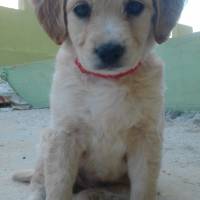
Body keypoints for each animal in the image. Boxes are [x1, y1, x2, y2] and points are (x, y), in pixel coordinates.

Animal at [13, 0, 184, 200]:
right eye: (81, 9)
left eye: (135, 6)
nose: (109, 51)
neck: (106, 81)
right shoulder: (63, 134)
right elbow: (58, 186)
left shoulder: (146, 137)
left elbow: (143, 188)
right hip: (46, 141)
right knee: (38, 179)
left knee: (101, 190)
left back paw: (91, 194)